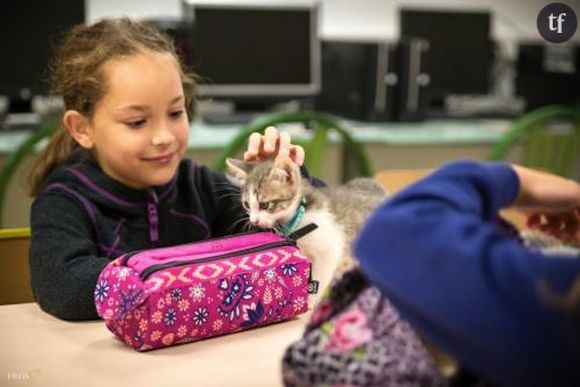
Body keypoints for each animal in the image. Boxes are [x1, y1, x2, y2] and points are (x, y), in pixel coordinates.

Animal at [224, 157, 388, 306]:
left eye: (264, 205)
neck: (298, 218)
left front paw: (309, 304)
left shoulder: (331, 249)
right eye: (247, 204)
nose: (254, 221)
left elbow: (319, 280)